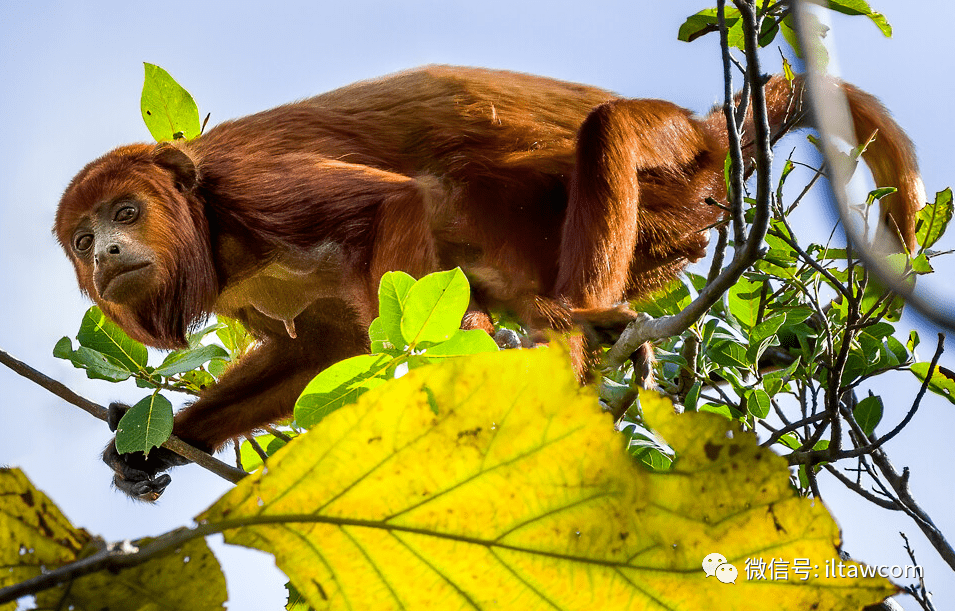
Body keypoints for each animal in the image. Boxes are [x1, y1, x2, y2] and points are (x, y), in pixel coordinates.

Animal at [56, 64, 924, 500]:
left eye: (128, 211)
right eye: (82, 237)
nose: (105, 253)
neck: (208, 226)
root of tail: (710, 129)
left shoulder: (251, 188)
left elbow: (389, 206)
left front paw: (435, 385)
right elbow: (320, 349)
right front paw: (157, 442)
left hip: (679, 175)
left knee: (602, 130)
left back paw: (581, 327)